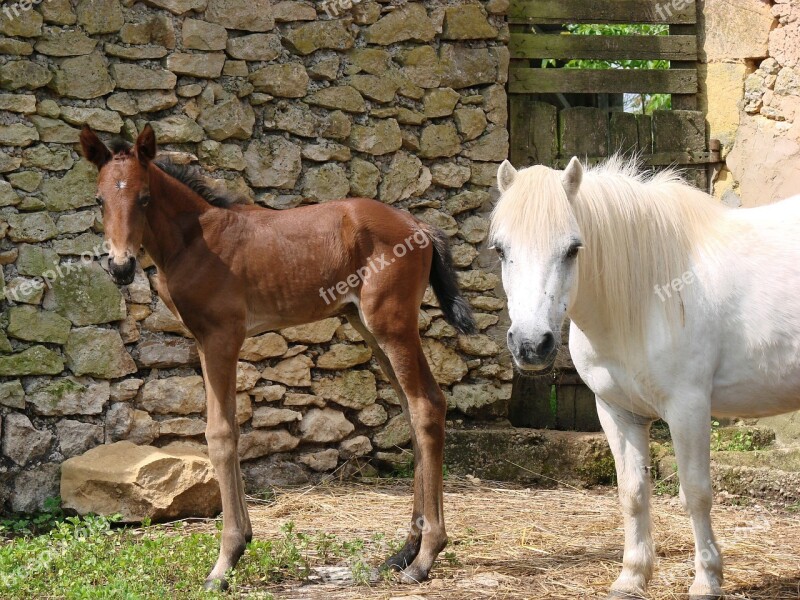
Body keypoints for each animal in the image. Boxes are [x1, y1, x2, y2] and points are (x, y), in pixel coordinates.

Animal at [79, 124, 476, 588]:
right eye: (100, 199)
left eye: (143, 197)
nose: (120, 266)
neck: (195, 239)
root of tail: (419, 224)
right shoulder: (207, 342)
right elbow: (232, 429)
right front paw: (241, 543)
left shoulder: (220, 338)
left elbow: (220, 435)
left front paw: (225, 561)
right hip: (369, 326)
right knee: (414, 410)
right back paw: (403, 551)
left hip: (391, 325)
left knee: (426, 404)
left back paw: (425, 557)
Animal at [490, 157, 800, 596]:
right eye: (501, 249)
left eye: (573, 248)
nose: (532, 345)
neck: (648, 296)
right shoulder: (618, 412)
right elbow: (633, 493)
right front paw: (632, 576)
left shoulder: (689, 409)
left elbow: (696, 493)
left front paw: (706, 580)